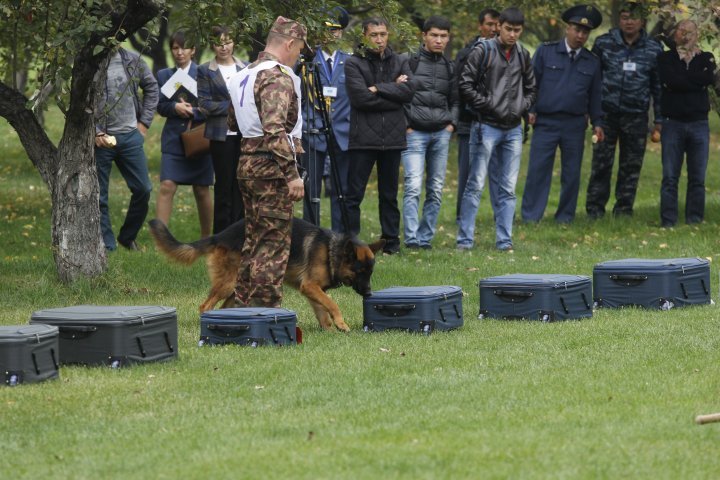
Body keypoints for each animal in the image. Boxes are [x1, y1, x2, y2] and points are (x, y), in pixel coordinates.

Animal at [148, 217, 386, 330]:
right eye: (360, 271)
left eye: (371, 272)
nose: (369, 294)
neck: (331, 251)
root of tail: (219, 235)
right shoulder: (310, 286)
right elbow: (332, 304)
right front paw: (342, 323)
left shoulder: (313, 290)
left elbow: (323, 312)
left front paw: (331, 330)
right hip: (228, 284)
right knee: (205, 306)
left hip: (237, 287)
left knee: (224, 308)